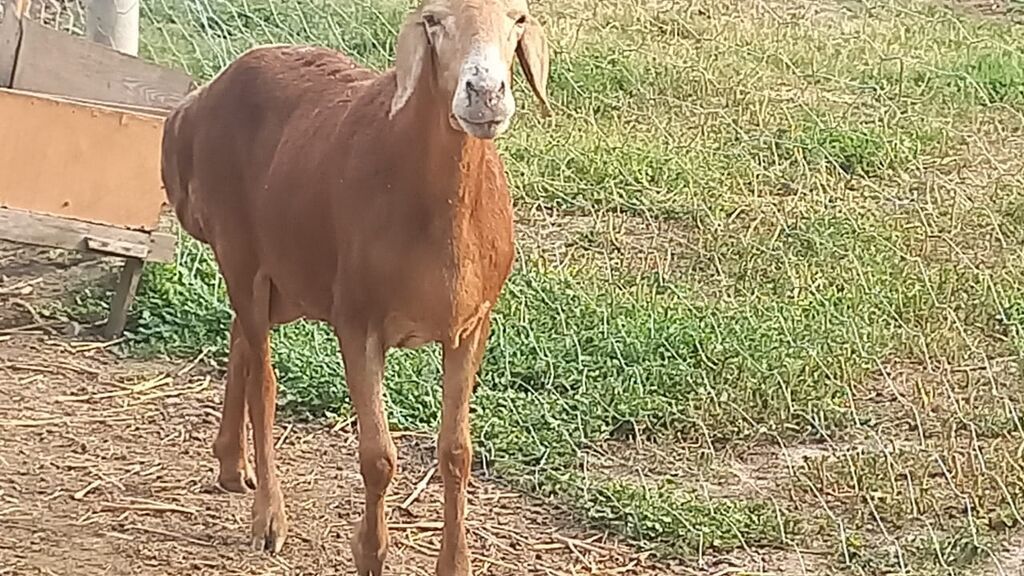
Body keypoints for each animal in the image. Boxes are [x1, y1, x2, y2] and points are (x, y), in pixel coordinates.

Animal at [159, 0, 550, 574]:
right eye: (434, 20)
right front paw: (370, 551)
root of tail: (194, 106)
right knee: (263, 381)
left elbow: (456, 451)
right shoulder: (357, 320)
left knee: (240, 337)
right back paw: (268, 516)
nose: (486, 92)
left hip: (288, 275)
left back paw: (231, 463)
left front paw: (455, 562)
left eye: (518, 19)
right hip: (241, 250)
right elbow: (377, 457)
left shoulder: (472, 323)